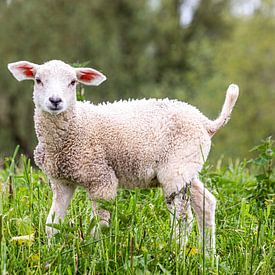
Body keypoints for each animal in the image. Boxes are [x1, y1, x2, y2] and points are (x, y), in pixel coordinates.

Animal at [7, 60, 239, 254]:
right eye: (38, 80)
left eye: (73, 82)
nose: (55, 101)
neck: (75, 126)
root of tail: (206, 123)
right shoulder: (61, 181)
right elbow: (52, 224)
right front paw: (52, 254)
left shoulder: (101, 179)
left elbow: (99, 226)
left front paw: (96, 254)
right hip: (187, 166)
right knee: (205, 203)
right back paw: (207, 257)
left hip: (177, 167)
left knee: (183, 218)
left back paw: (176, 254)